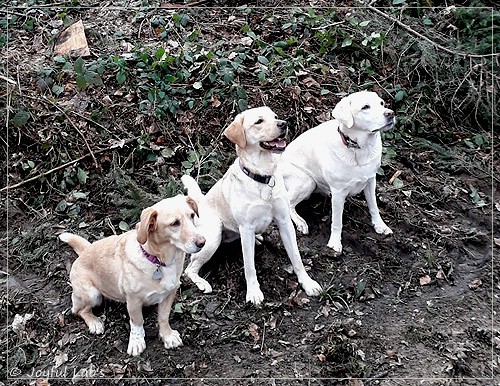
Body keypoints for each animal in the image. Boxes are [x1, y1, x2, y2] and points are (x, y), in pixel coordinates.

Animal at [59, 196, 205, 356]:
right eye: (175, 223)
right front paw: (136, 342)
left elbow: (163, 317)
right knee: (79, 311)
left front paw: (167, 336)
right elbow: (137, 322)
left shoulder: (169, 294)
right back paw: (94, 322)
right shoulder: (134, 301)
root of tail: (85, 251)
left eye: (192, 215)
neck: (159, 261)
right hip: (92, 294)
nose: (202, 242)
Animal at [182, 105, 322, 304]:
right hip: (214, 234)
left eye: (275, 117)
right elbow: (249, 265)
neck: (263, 176)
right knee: (189, 268)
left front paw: (307, 283)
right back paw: (202, 283)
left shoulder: (284, 221)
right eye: (259, 121)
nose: (284, 124)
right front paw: (254, 292)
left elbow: (296, 257)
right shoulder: (246, 227)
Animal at [282, 90, 394, 253]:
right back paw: (301, 222)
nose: (391, 113)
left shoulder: (371, 181)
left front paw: (380, 226)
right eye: (365, 107)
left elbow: (374, 207)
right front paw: (335, 243)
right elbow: (337, 221)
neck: (359, 149)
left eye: (381, 103)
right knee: (288, 203)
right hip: (307, 181)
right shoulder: (338, 192)